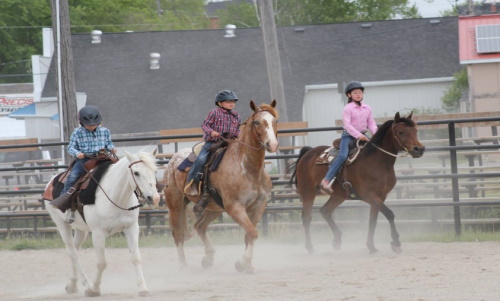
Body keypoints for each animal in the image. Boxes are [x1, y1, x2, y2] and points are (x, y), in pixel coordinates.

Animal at [44, 150, 159, 296]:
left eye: (155, 171)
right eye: (136, 172)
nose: (154, 198)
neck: (116, 197)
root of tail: (51, 181)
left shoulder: (132, 228)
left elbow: (136, 258)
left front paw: (143, 288)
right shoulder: (98, 233)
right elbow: (101, 263)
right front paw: (94, 289)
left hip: (81, 229)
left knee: (75, 249)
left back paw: (72, 284)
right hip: (62, 225)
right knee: (72, 253)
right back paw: (86, 283)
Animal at [165, 99, 280, 272]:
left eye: (275, 121)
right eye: (257, 122)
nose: (271, 144)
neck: (247, 167)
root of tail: (173, 159)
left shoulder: (258, 206)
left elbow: (249, 235)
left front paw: (247, 266)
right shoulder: (235, 207)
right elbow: (253, 233)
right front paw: (242, 263)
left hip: (213, 208)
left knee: (199, 226)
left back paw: (208, 258)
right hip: (175, 205)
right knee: (178, 234)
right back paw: (183, 265)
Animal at [288, 112, 424, 253]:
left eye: (415, 130)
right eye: (401, 132)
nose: (419, 149)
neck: (377, 162)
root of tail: (307, 153)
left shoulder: (381, 196)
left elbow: (373, 220)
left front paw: (371, 246)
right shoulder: (369, 195)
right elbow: (389, 214)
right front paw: (396, 242)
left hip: (338, 195)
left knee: (325, 211)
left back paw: (337, 240)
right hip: (308, 192)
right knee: (307, 218)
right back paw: (310, 247)